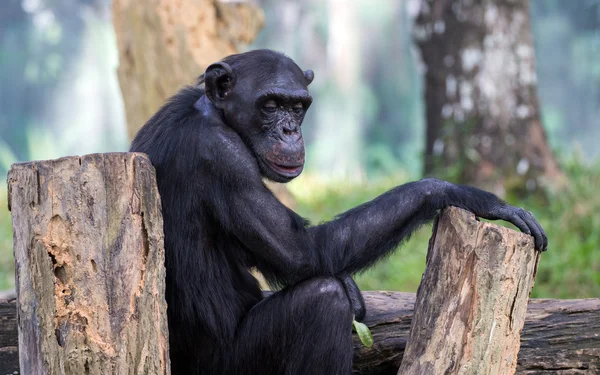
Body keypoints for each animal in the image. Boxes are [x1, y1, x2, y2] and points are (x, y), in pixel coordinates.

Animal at [131, 50, 548, 375]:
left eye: (298, 107)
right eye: (270, 105)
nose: (289, 131)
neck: (215, 115)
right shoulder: (223, 158)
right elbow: (305, 253)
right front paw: (468, 194)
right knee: (322, 299)